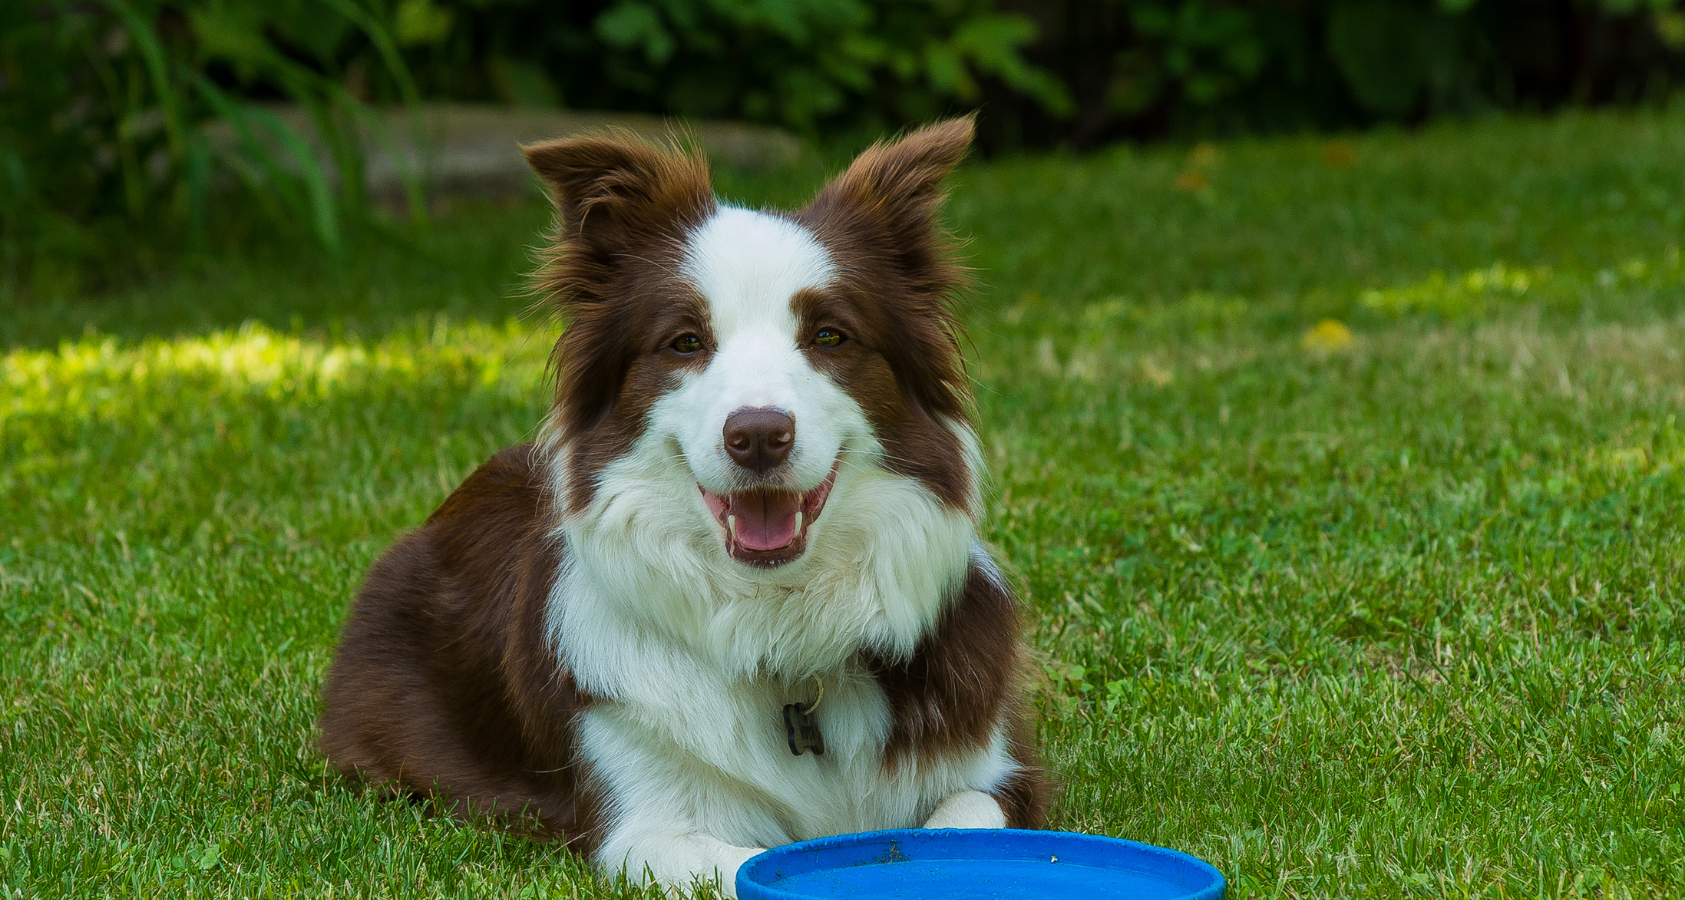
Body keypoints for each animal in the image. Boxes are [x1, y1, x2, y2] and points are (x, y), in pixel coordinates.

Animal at [320, 117, 1044, 896]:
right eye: (685, 342)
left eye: (829, 335)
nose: (757, 435)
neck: (780, 631)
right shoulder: (643, 825)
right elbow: (746, 865)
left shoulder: (1001, 776)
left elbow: (966, 821)